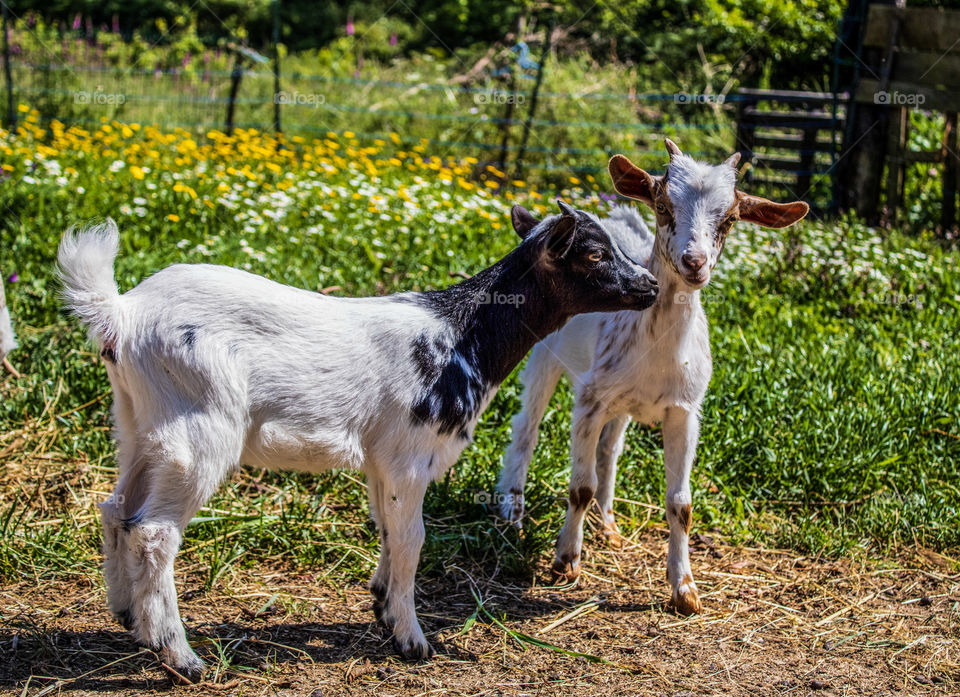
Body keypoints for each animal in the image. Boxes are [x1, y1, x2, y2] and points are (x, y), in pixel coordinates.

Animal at [60, 198, 660, 676]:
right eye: (594, 254)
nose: (651, 285)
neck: (463, 337)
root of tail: (122, 313)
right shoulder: (410, 455)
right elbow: (414, 538)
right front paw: (413, 640)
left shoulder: (381, 458)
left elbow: (388, 530)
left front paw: (382, 606)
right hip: (199, 427)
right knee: (154, 532)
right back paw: (180, 656)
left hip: (139, 423)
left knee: (116, 510)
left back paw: (128, 618)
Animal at [496, 139, 808, 612]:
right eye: (663, 205)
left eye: (730, 219)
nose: (694, 262)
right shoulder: (589, 400)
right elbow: (579, 487)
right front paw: (566, 560)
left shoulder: (684, 412)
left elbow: (681, 503)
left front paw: (685, 589)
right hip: (543, 357)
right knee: (526, 429)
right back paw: (512, 513)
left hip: (622, 404)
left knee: (610, 449)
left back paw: (608, 525)